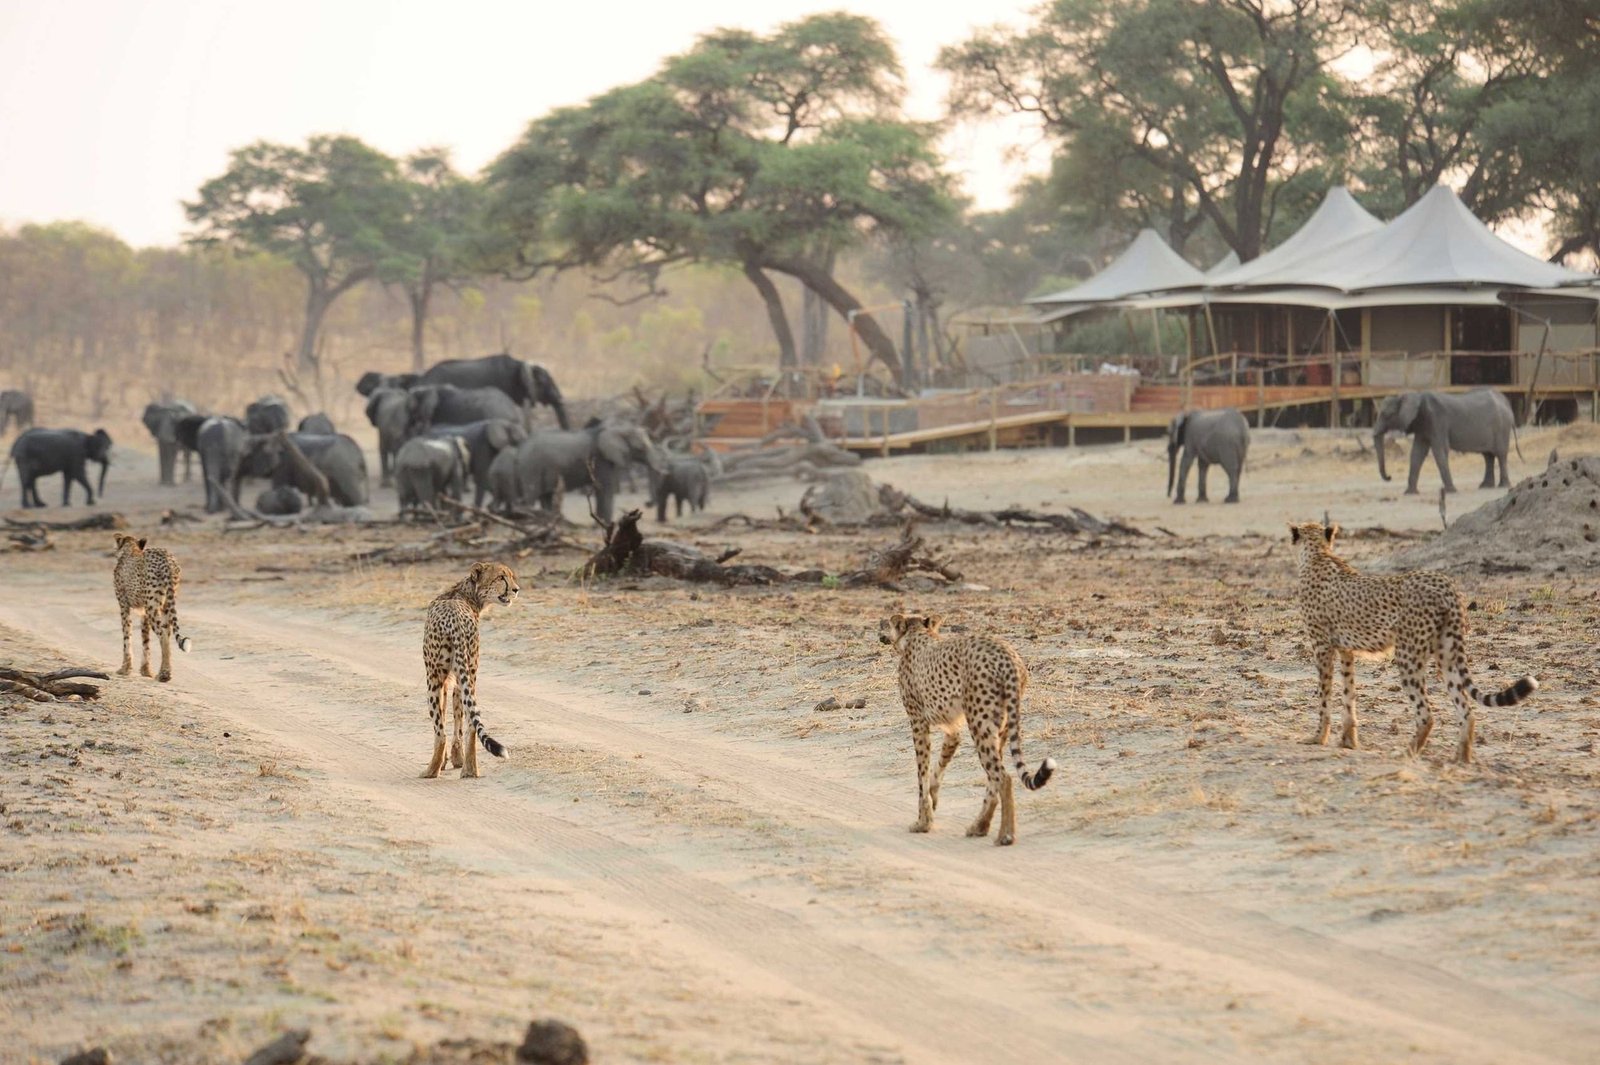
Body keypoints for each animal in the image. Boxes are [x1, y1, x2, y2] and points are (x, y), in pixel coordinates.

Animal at [233, 431, 370, 508]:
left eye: (247, 456)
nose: (239, 506)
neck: (266, 435)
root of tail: (360, 454)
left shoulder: (284, 465)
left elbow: (278, 487)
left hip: (347, 473)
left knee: (354, 500)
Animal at [512, 423, 668, 522]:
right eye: (640, 448)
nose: (647, 503)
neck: (618, 428)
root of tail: (520, 448)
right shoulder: (601, 460)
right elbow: (605, 489)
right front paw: (606, 523)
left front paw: (600, 522)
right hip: (531, 467)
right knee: (531, 495)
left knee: (546, 496)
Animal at [1374, 388, 1515, 494]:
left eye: (1386, 415)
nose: (1389, 477)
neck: (1416, 396)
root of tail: (1507, 403)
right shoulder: (1422, 426)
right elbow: (1417, 453)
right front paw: (1410, 493)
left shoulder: (1437, 420)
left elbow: (1439, 451)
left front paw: (1451, 491)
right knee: (1488, 456)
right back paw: (1485, 486)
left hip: (1502, 428)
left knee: (1500, 455)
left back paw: (1503, 486)